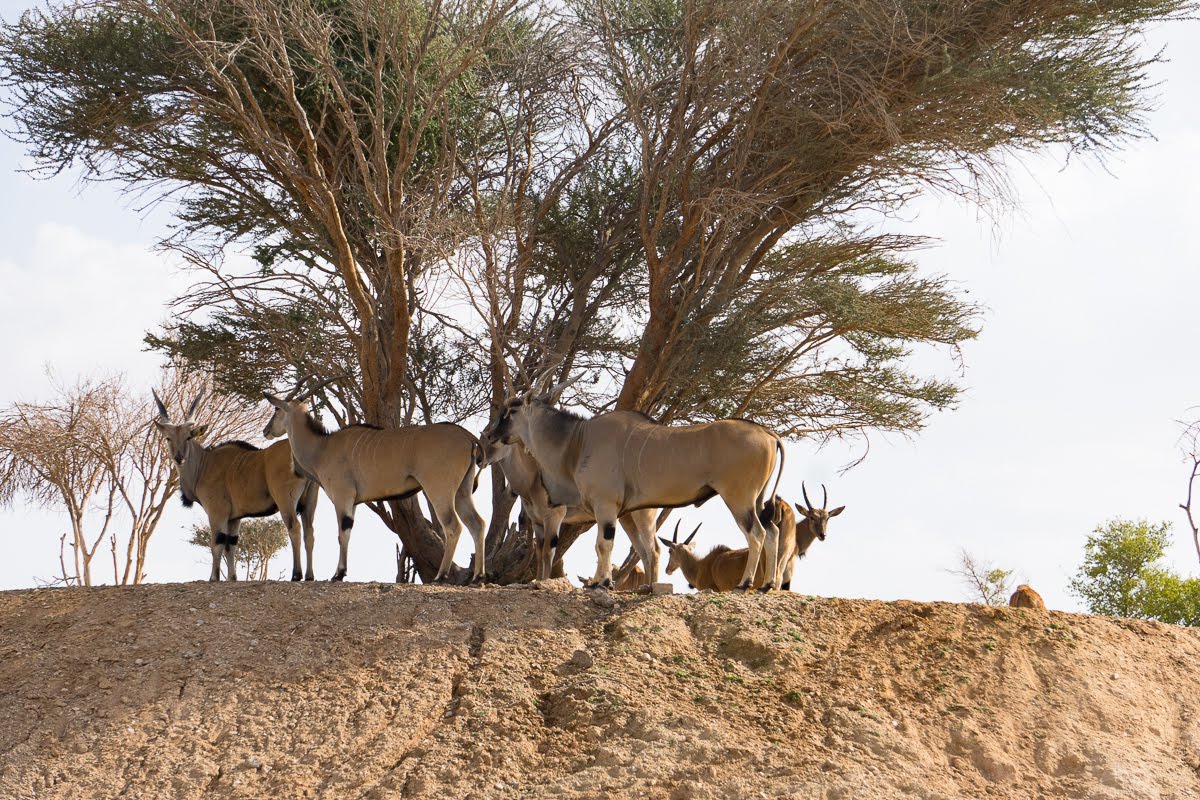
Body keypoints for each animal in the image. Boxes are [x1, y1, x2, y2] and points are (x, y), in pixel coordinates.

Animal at [151, 388, 319, 582]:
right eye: (168, 438)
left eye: (188, 437)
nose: (179, 458)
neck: (204, 463)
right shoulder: (234, 518)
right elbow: (231, 544)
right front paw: (232, 577)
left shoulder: (217, 513)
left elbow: (217, 542)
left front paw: (213, 577)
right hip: (309, 503)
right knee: (309, 532)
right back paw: (310, 576)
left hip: (286, 502)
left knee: (295, 529)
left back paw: (296, 574)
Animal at [264, 381, 487, 582]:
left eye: (276, 409)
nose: (266, 430)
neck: (323, 447)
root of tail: (467, 436)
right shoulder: (352, 502)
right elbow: (347, 532)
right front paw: (342, 572)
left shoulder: (342, 497)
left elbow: (342, 533)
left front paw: (338, 574)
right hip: (462, 492)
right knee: (477, 524)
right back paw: (478, 576)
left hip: (440, 490)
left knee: (453, 526)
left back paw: (441, 576)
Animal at [487, 369, 787, 587]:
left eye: (511, 411)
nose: (490, 435)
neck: (577, 440)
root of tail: (768, 433)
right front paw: (600, 582)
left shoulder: (604, 506)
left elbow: (602, 544)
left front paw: (602, 583)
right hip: (756, 500)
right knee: (772, 531)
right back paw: (767, 585)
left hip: (739, 499)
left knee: (757, 533)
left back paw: (745, 584)